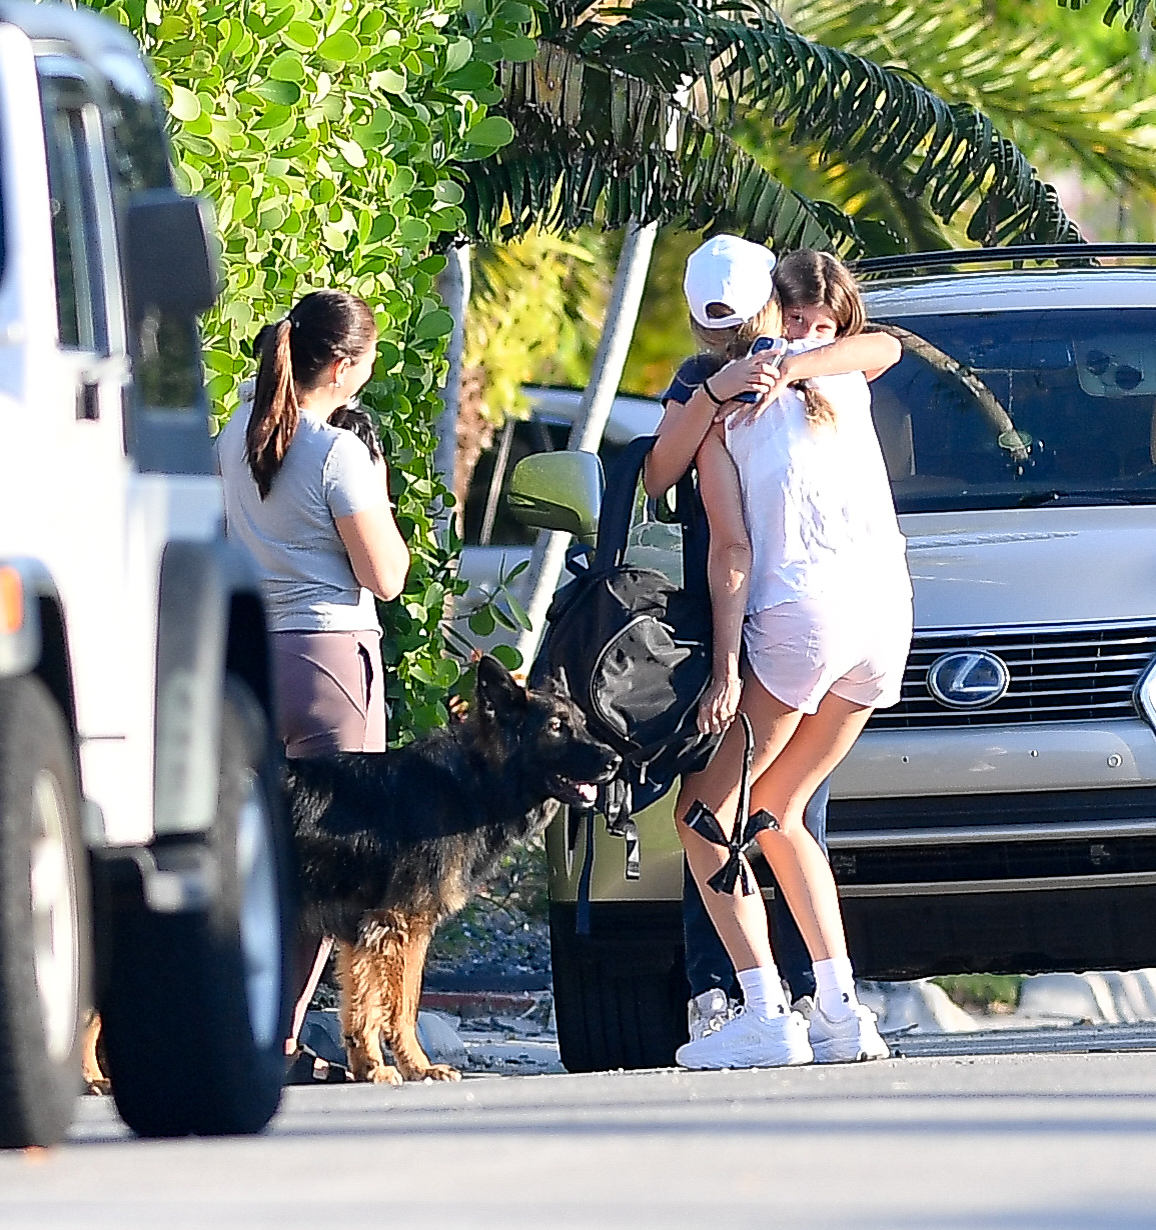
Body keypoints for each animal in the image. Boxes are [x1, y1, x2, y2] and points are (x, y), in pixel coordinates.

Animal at [284, 659, 619, 1082]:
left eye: (583, 724)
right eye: (556, 727)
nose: (615, 760)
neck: (473, 783)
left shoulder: (364, 933)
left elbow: (362, 1008)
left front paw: (370, 1068)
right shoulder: (403, 925)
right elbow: (403, 1007)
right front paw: (417, 1067)